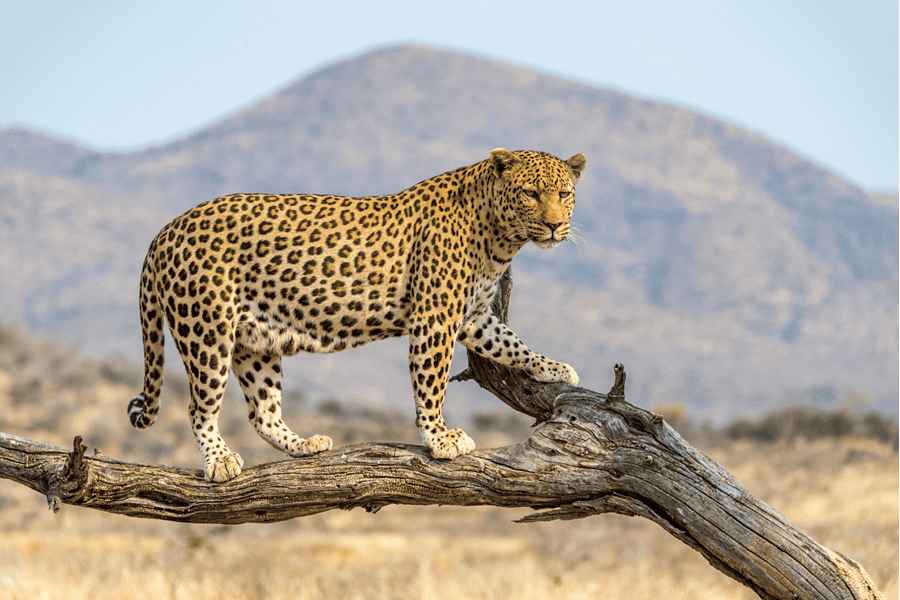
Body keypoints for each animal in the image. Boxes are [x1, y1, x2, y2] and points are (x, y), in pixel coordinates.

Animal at [130, 150, 588, 482]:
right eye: (530, 193)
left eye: (564, 194)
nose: (554, 225)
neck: (500, 239)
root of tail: (164, 231)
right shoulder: (435, 318)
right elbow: (431, 383)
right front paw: (439, 438)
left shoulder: (474, 317)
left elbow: (512, 344)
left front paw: (554, 368)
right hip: (206, 333)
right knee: (199, 409)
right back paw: (220, 462)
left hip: (253, 342)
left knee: (263, 412)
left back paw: (303, 445)